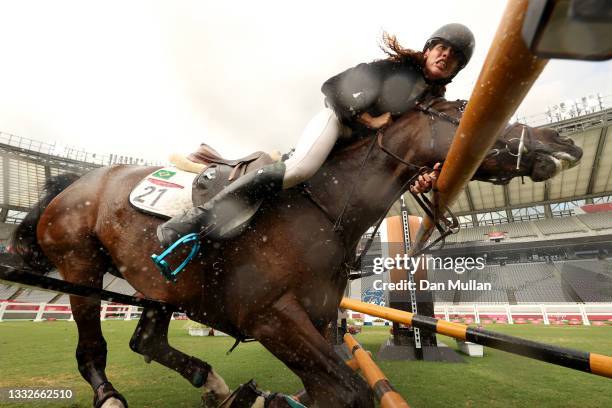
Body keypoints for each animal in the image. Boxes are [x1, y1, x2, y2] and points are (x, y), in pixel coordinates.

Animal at [11, 97, 580, 406]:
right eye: (465, 109)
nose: (563, 143)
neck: (322, 209)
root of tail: (72, 182)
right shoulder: (271, 318)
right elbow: (349, 391)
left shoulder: (319, 320)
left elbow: (331, 389)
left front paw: (264, 398)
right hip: (81, 269)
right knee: (92, 349)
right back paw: (111, 395)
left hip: (158, 285)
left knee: (146, 341)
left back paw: (215, 384)